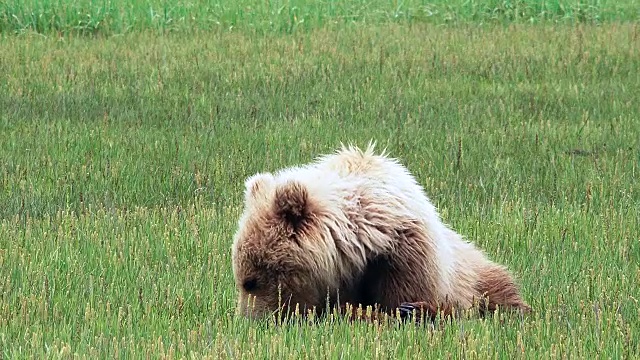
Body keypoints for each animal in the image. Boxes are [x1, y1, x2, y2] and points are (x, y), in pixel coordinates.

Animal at [230, 143, 528, 324]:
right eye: (244, 279)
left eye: (251, 281)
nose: (249, 320)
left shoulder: (405, 257)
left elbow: (398, 300)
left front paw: (407, 310)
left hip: (474, 273)